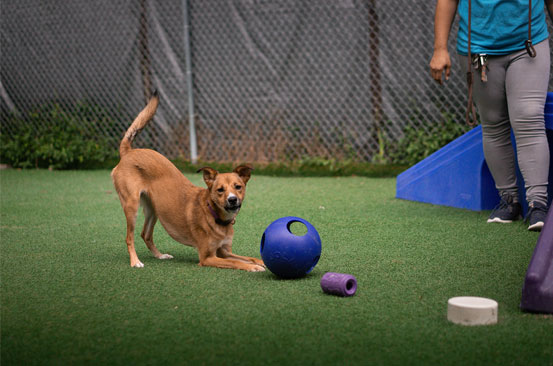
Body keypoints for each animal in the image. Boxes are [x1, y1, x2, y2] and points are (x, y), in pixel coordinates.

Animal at [110, 93, 266, 272]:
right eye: (220, 190)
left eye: (238, 187)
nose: (232, 200)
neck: (214, 214)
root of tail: (128, 152)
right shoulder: (207, 257)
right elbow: (238, 262)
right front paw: (253, 267)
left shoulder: (225, 252)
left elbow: (250, 258)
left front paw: (261, 262)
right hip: (131, 206)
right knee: (129, 237)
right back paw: (135, 261)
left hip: (154, 209)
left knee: (146, 234)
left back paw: (159, 255)